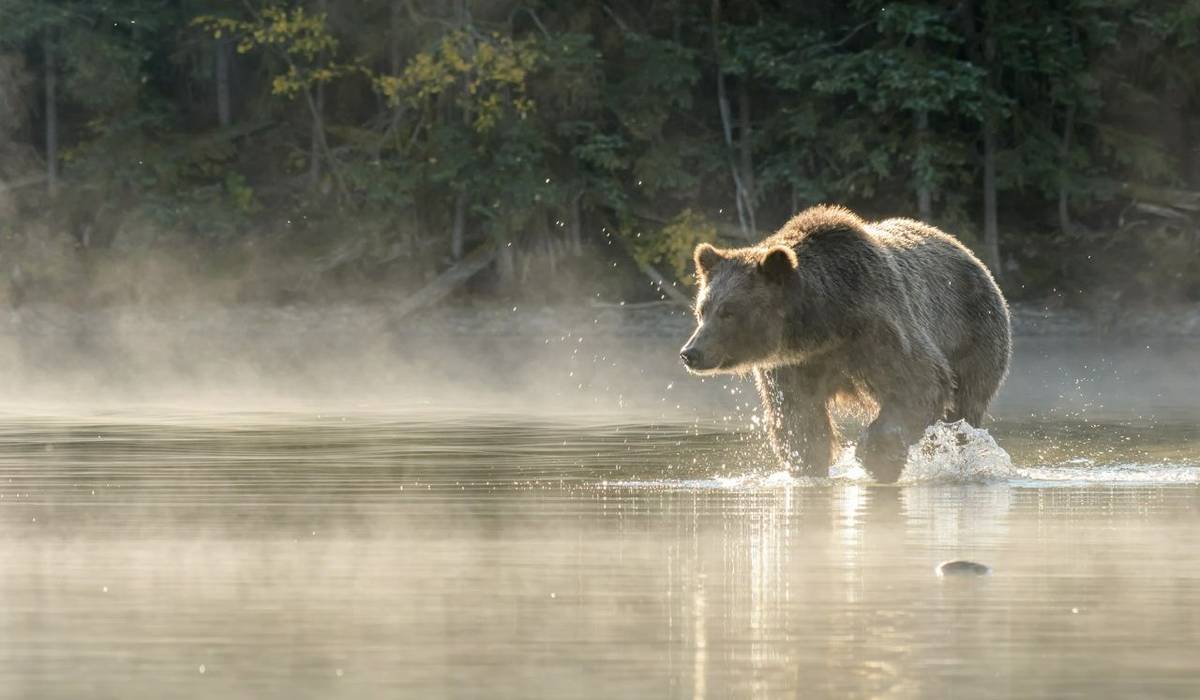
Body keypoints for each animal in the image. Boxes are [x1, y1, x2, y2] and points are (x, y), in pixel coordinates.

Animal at [679, 205, 1011, 483]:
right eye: (702, 309)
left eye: (728, 311)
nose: (690, 353)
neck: (824, 325)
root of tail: (972, 257)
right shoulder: (792, 365)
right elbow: (799, 418)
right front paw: (809, 465)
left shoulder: (878, 328)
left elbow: (920, 381)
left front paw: (877, 457)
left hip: (976, 336)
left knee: (964, 408)